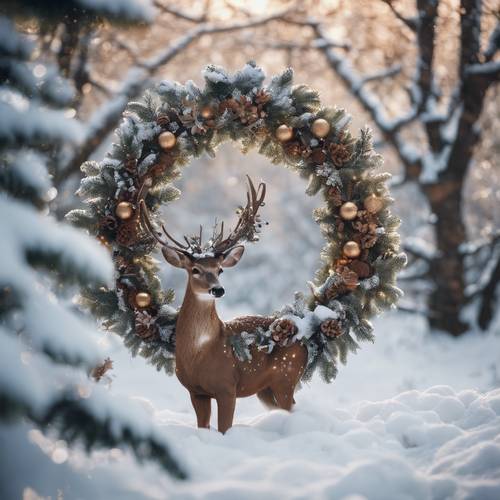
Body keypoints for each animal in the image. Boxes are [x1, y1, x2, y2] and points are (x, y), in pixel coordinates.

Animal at [139, 177, 306, 434]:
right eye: (195, 270)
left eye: (219, 270)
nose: (218, 289)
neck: (200, 353)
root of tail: (304, 341)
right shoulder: (195, 391)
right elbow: (203, 426)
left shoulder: (227, 386)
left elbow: (224, 428)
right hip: (266, 388)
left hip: (286, 376)